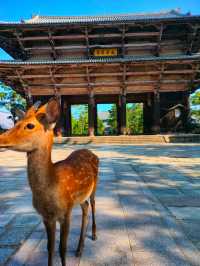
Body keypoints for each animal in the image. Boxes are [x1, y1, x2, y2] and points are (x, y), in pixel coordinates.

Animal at [0, 98, 99, 266]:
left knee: (92, 204)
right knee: (85, 207)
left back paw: (94, 235)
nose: (1, 139)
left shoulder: (65, 212)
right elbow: (50, 247)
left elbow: (62, 248)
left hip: (95, 186)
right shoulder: (46, 216)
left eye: (30, 125)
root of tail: (91, 152)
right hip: (79, 198)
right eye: (16, 122)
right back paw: (79, 249)